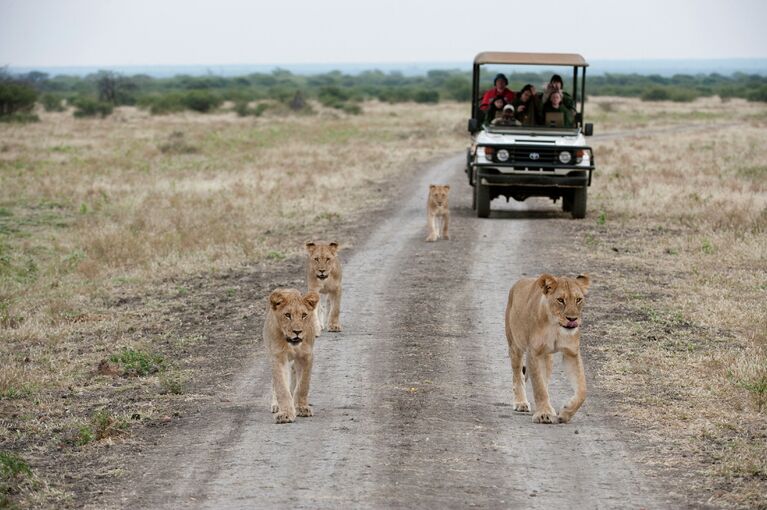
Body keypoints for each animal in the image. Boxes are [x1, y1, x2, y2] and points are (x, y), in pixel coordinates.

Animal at [266, 286, 320, 422]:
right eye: (287, 315)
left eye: (304, 315)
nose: (297, 331)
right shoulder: (278, 357)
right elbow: (281, 387)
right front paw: (285, 413)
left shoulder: (306, 356)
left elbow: (303, 385)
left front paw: (301, 407)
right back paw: (276, 405)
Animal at [504, 272, 592, 424]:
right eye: (560, 300)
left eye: (578, 299)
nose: (572, 319)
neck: (555, 326)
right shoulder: (534, 353)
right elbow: (539, 387)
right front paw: (543, 414)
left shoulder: (572, 353)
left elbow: (582, 390)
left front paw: (566, 412)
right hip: (515, 345)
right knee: (517, 376)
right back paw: (521, 402)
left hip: (547, 357)